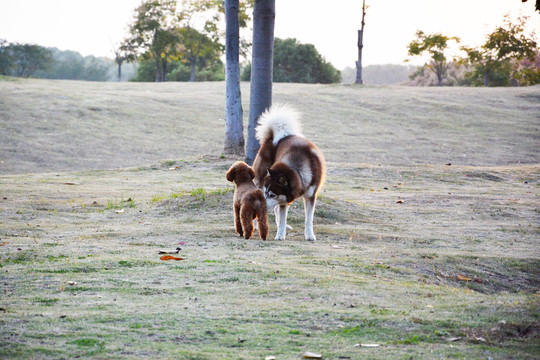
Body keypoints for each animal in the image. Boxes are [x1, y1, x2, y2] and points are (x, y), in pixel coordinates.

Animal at [252, 104, 324, 242]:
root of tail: (273, 137)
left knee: (276, 208)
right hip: (260, 180)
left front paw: (309, 235)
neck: (300, 170)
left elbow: (309, 219)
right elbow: (282, 217)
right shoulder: (283, 199)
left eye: (272, 194)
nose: (260, 206)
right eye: (266, 193)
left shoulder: (310, 196)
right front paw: (280, 234)